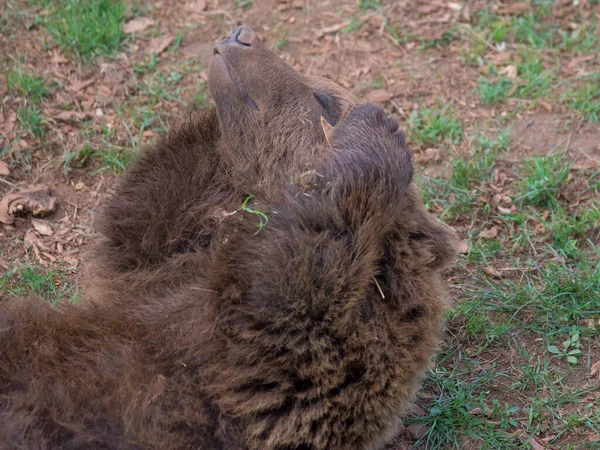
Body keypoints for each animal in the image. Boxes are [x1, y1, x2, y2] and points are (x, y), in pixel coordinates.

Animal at [1, 26, 460, 448]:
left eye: (324, 99)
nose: (244, 35)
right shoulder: (152, 278)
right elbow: (136, 228)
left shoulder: (270, 369)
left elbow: (286, 282)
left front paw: (378, 129)